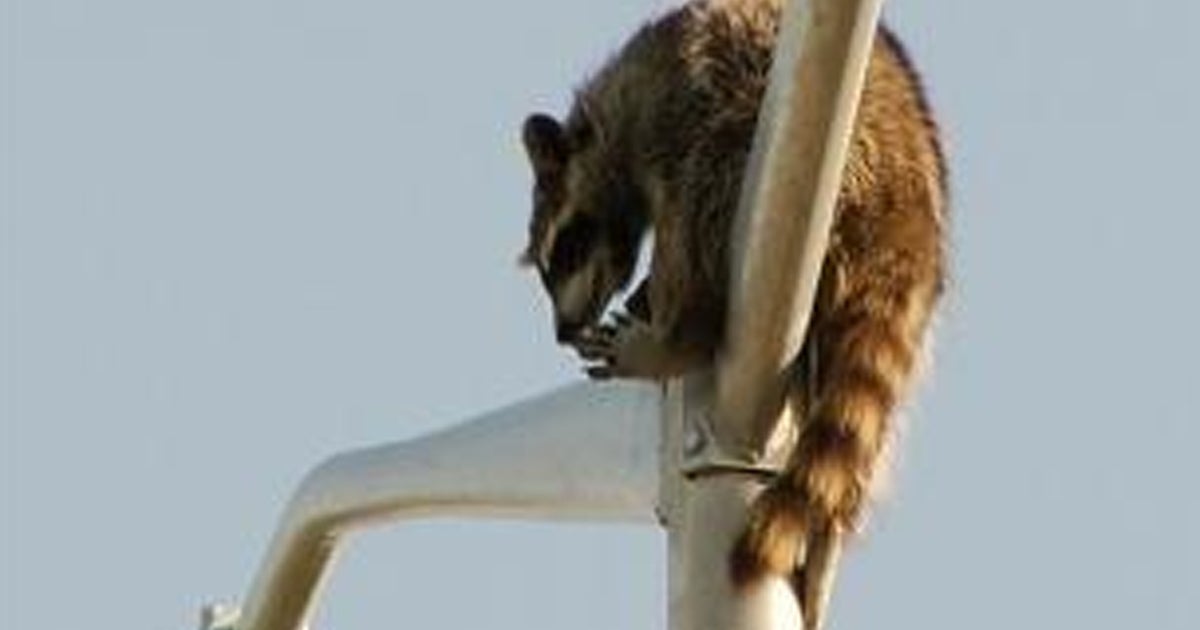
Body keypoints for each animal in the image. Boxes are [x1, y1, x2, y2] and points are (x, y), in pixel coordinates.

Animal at [519, 0, 946, 627]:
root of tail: (909, 220)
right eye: (543, 266)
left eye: (566, 247)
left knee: (700, 193)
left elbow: (676, 209)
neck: (613, 110)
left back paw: (681, 336)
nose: (563, 330)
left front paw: (667, 311)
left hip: (808, 153)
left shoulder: (674, 103)